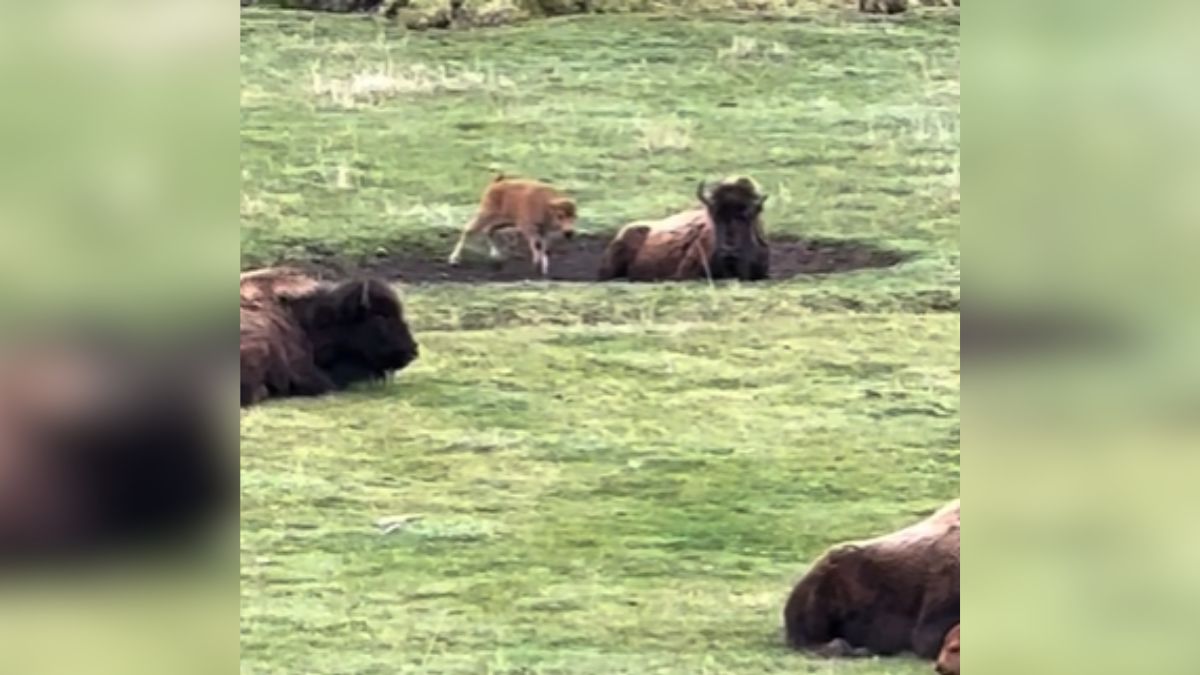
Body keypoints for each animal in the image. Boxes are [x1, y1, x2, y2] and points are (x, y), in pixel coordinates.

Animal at [451, 176, 580, 278]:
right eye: (560, 216)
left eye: (574, 216)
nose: (569, 232)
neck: (545, 205)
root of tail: (496, 183)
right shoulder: (529, 228)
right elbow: (537, 245)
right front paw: (537, 267)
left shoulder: (543, 231)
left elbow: (543, 248)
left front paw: (543, 269)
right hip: (486, 214)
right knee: (468, 230)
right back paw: (454, 260)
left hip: (505, 221)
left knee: (489, 230)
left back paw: (496, 258)